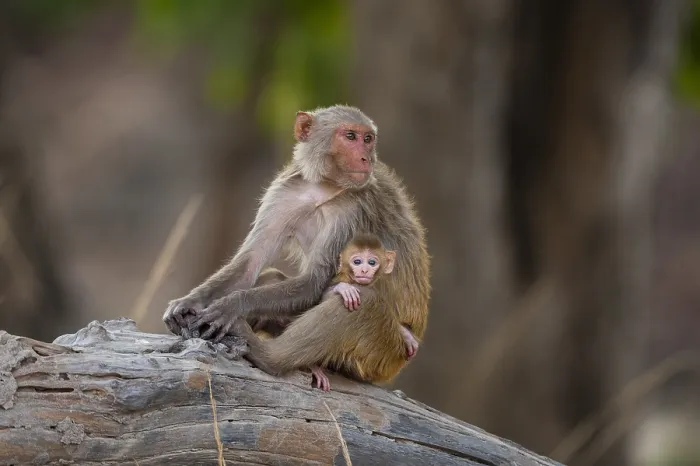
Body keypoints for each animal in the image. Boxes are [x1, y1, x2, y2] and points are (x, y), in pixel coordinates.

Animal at [163, 104, 430, 383]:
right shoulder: (285, 191)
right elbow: (250, 263)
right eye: (351, 136)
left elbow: (314, 281)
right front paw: (189, 302)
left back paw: (265, 352)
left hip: (382, 352)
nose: (366, 158)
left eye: (368, 139)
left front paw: (232, 306)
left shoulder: (352, 209)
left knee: (363, 301)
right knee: (273, 278)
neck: (323, 187)